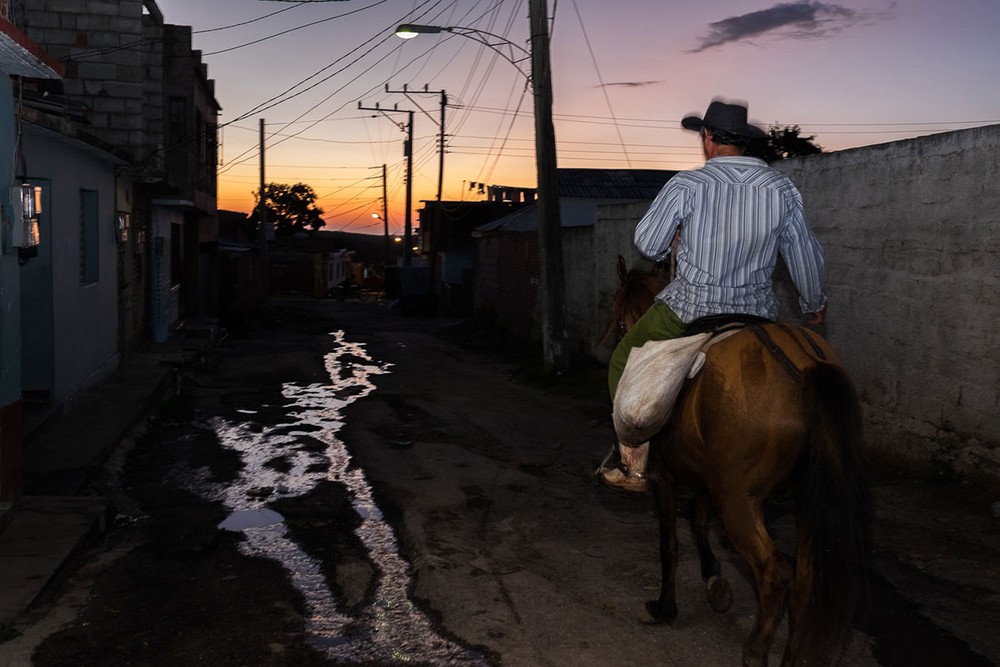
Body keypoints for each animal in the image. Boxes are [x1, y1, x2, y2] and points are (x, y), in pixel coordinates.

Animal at [604, 258, 872, 667]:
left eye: (620, 319)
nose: (618, 336)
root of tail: (805, 367)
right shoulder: (705, 474)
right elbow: (698, 521)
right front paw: (715, 581)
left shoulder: (665, 476)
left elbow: (670, 543)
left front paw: (664, 608)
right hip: (802, 498)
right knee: (804, 585)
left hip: (737, 498)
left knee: (775, 573)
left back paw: (755, 651)